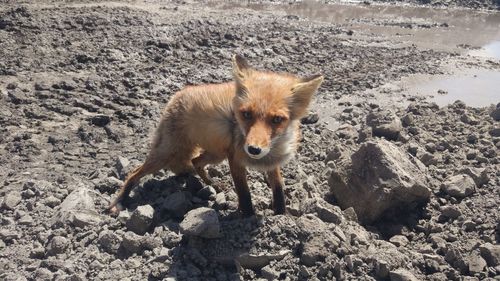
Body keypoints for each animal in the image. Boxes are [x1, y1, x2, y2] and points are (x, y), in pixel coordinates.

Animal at [107, 55, 322, 217]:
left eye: (277, 119)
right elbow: (245, 194)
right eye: (246, 114)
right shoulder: (235, 160)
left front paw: (281, 215)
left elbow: (278, 189)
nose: (253, 149)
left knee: (195, 162)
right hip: (165, 155)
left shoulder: (271, 162)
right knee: (134, 172)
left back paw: (213, 185)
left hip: (215, 155)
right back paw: (119, 201)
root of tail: (177, 95)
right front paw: (248, 218)